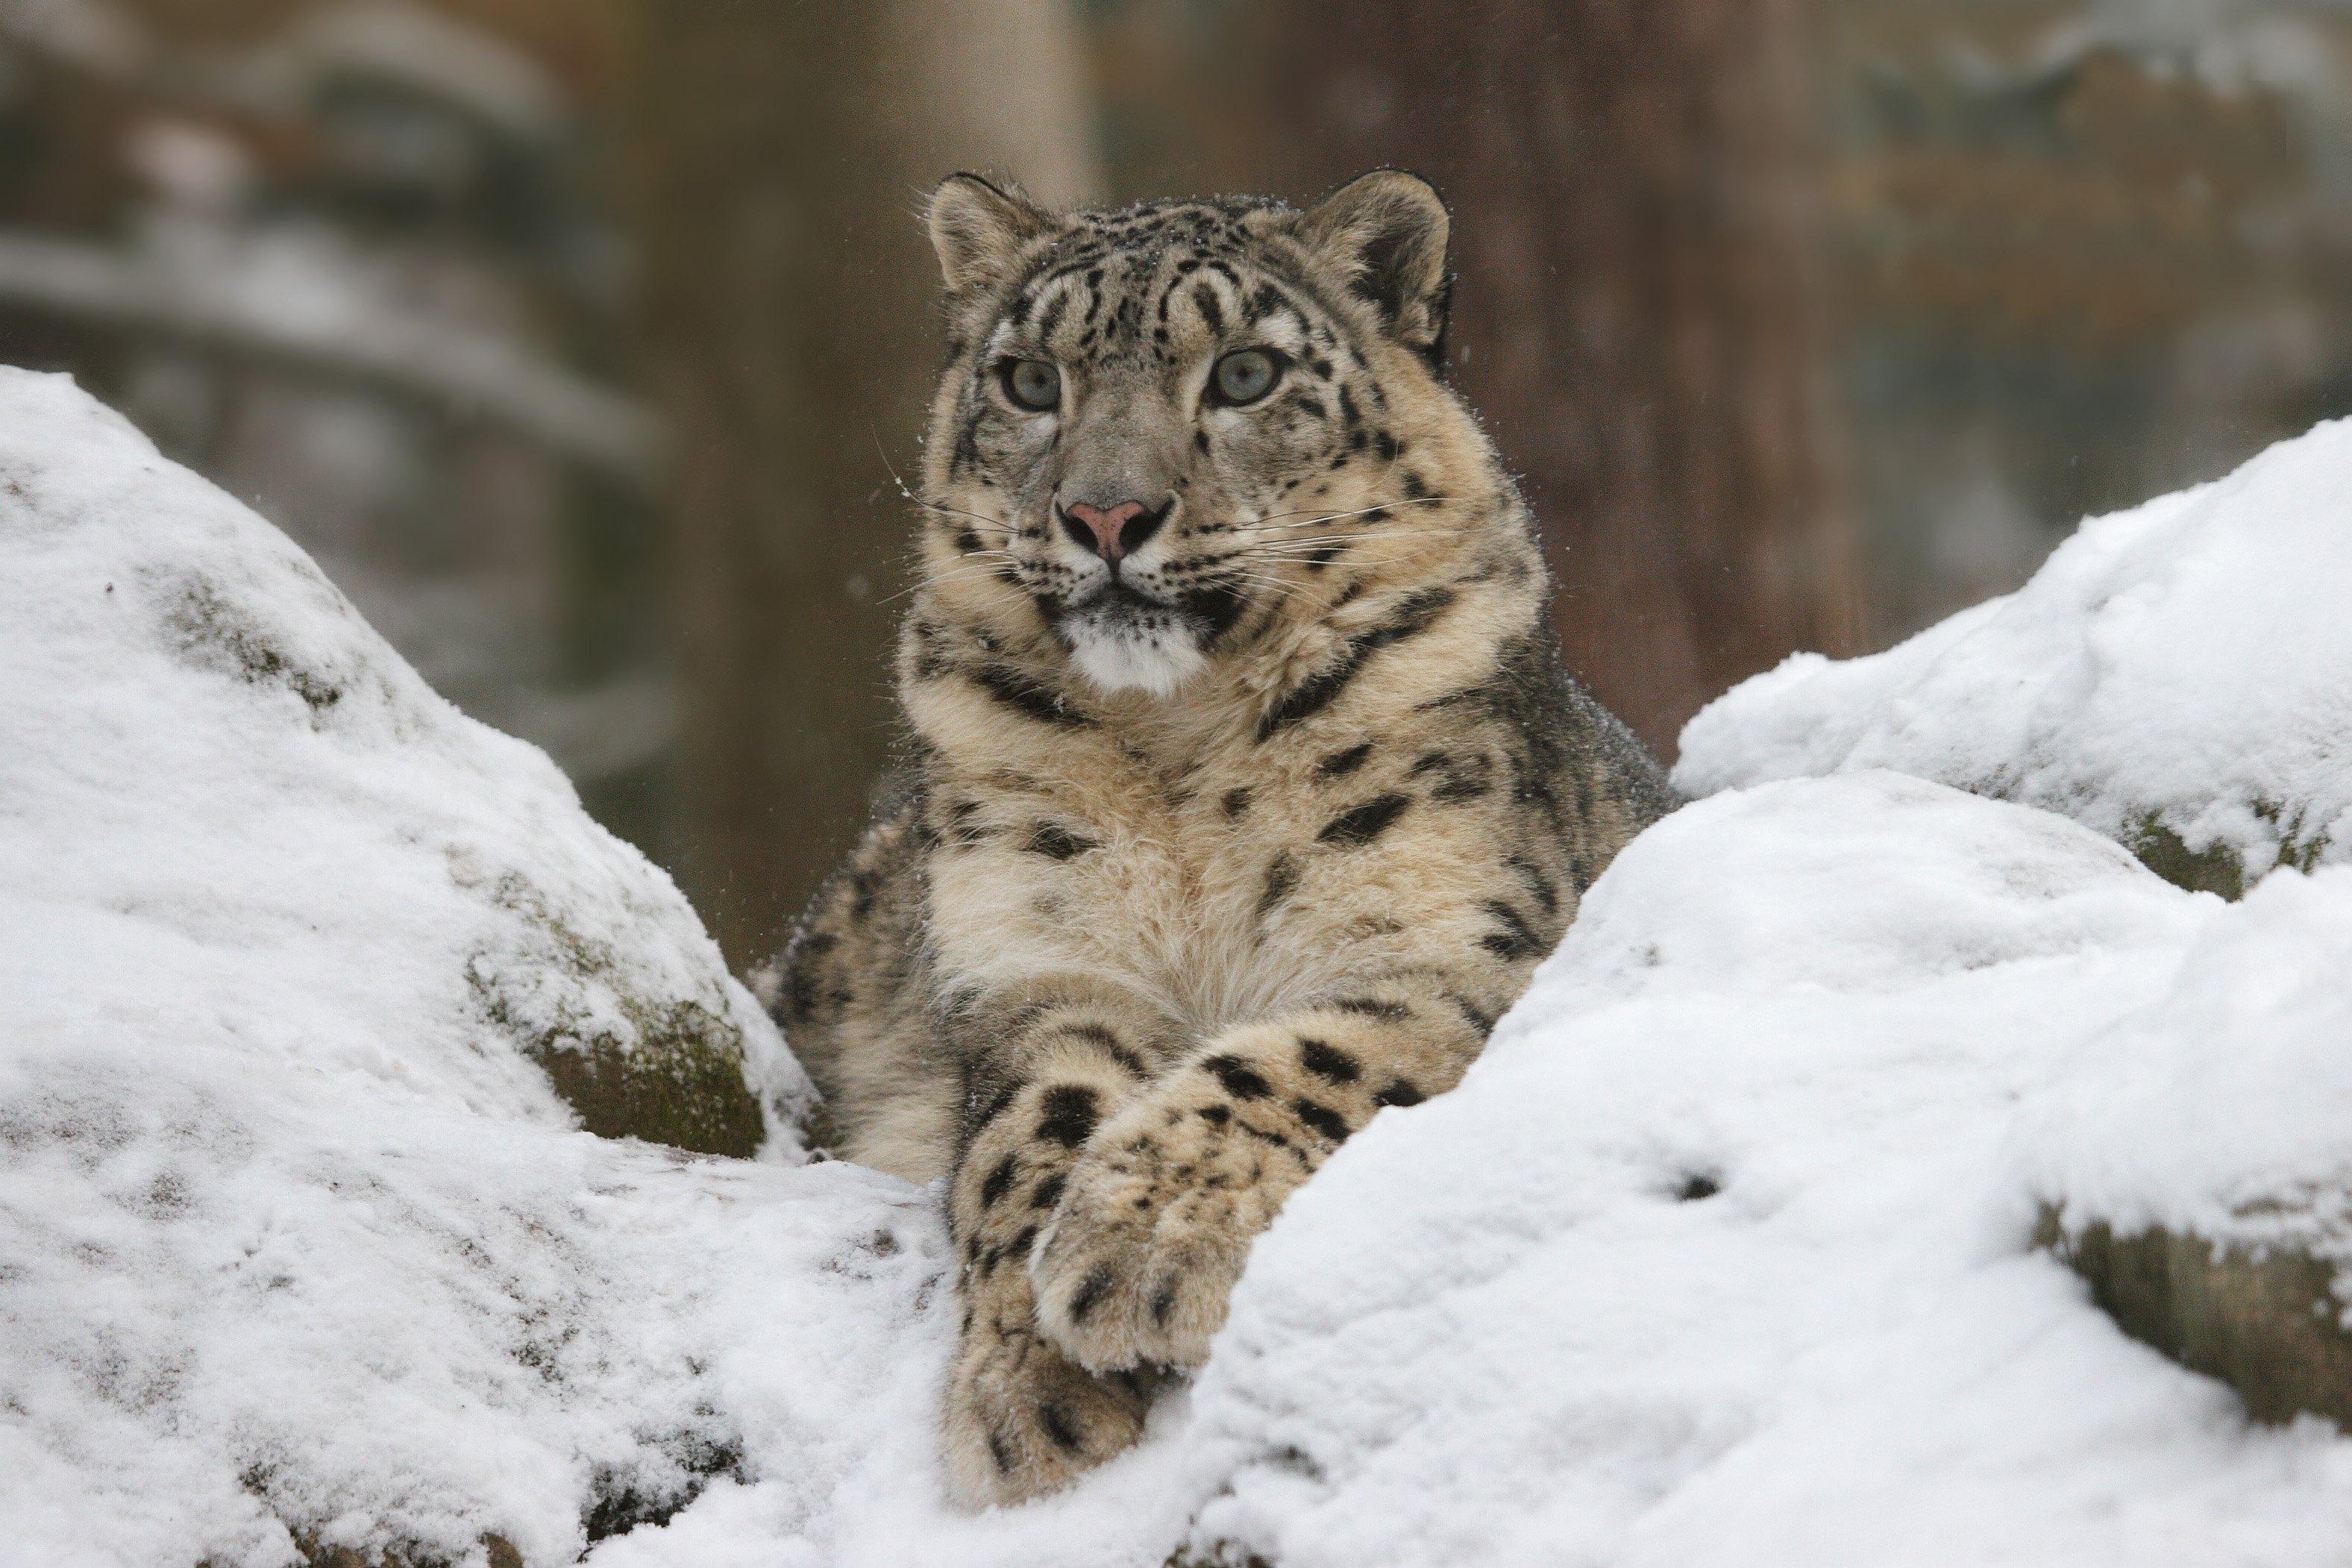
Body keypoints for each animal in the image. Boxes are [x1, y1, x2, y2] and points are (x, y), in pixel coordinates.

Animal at [771, 172, 1674, 1504]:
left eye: (1245, 373)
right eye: (1030, 380)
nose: (1105, 513)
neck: (1177, 753)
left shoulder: (1453, 940)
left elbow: (1303, 1053)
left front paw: (1141, 1238)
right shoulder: (1033, 968)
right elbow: (1025, 1136)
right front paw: (1029, 1399)